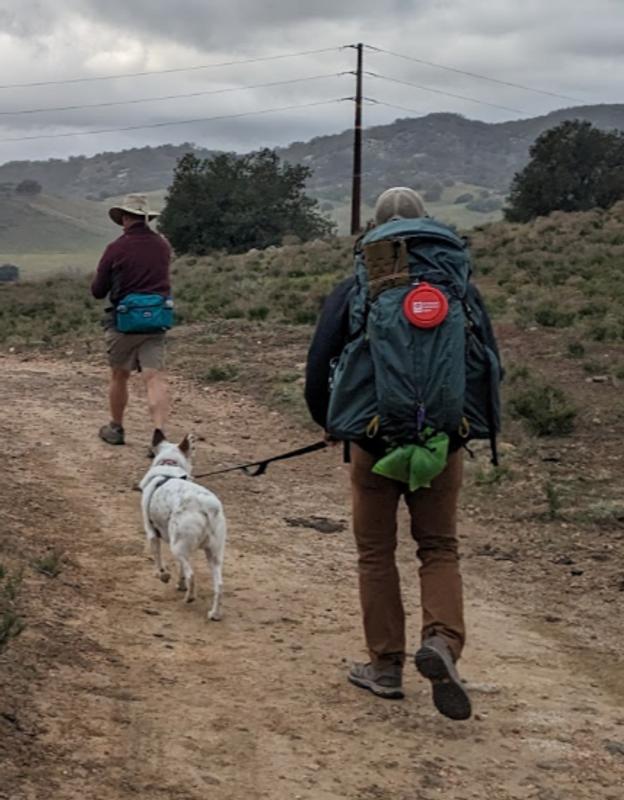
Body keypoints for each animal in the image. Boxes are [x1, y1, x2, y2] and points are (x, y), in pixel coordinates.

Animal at [139, 432, 227, 620]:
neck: (169, 466)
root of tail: (206, 506)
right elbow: (181, 570)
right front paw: (180, 584)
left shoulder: (151, 533)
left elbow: (158, 559)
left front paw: (162, 574)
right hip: (213, 554)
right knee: (219, 585)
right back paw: (214, 614)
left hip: (177, 546)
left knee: (192, 575)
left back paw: (189, 598)